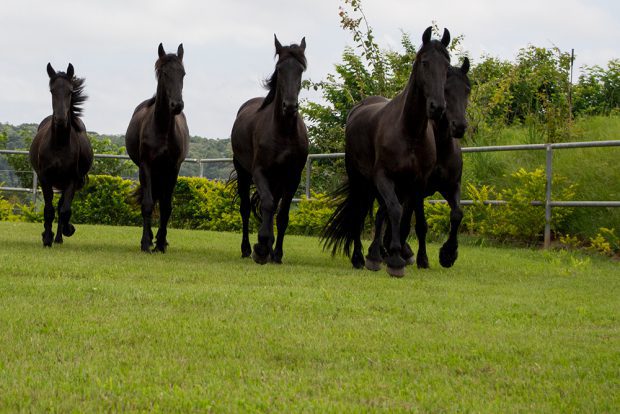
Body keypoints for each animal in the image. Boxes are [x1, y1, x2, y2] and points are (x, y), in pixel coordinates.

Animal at [29, 62, 92, 246]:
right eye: (52, 90)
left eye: (70, 91)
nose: (61, 120)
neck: (59, 145)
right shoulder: (45, 178)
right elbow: (48, 210)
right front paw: (46, 239)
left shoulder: (71, 180)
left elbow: (64, 210)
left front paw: (67, 230)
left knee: (62, 207)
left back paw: (58, 237)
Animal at [126, 44, 189, 252]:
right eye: (164, 73)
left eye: (183, 73)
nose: (177, 105)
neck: (162, 128)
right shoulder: (146, 165)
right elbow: (147, 203)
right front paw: (146, 242)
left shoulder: (172, 168)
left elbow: (166, 207)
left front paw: (161, 243)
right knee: (152, 198)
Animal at [231, 34, 308, 262]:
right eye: (280, 68)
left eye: (301, 69)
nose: (289, 106)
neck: (283, 133)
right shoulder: (259, 172)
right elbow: (266, 204)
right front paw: (262, 246)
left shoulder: (292, 177)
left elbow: (282, 214)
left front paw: (277, 253)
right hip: (243, 172)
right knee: (246, 209)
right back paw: (246, 248)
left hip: (277, 180)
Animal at [320, 27, 450, 276]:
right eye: (425, 62)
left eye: (447, 66)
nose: (437, 107)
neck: (409, 131)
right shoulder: (384, 177)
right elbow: (396, 212)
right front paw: (396, 259)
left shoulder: (417, 182)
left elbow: (413, 219)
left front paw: (414, 257)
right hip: (360, 181)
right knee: (360, 213)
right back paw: (360, 257)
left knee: (380, 213)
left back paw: (375, 255)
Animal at [368, 59, 470, 270]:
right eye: (445, 89)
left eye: (467, 90)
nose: (459, 126)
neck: (440, 147)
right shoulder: (416, 192)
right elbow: (416, 224)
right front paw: (417, 257)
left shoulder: (451, 186)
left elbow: (457, 214)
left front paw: (448, 254)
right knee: (385, 215)